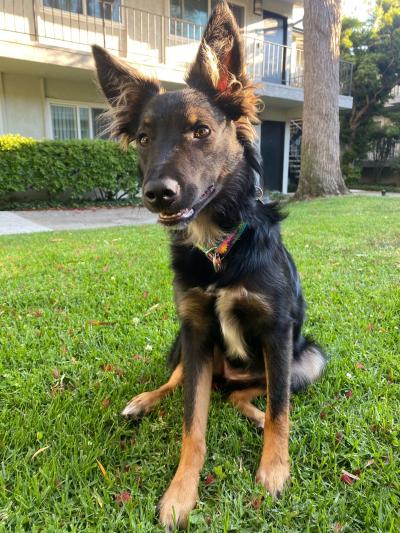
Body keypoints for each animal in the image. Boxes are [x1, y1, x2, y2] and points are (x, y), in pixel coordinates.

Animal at [92, 2, 326, 528]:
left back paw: (252, 413)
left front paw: (275, 469)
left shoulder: (277, 331)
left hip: (307, 360)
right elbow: (191, 426)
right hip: (184, 343)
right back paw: (144, 400)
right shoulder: (196, 329)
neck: (219, 251)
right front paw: (181, 492)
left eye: (201, 131)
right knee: (181, 382)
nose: (157, 194)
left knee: (255, 393)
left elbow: (280, 410)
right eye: (143, 138)